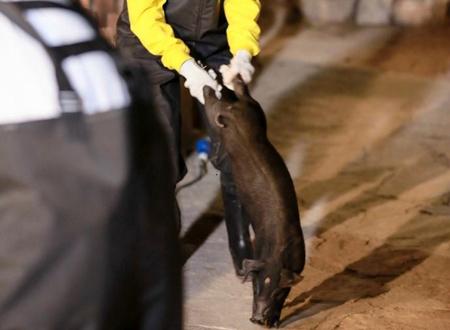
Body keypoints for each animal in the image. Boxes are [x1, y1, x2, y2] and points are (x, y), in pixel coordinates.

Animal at [203, 80, 306, 328]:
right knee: (211, 105)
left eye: (276, 290)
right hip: (222, 114)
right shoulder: (258, 254)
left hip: (256, 111)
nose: (257, 318)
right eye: (258, 284)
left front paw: (274, 323)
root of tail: (233, 107)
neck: (277, 253)